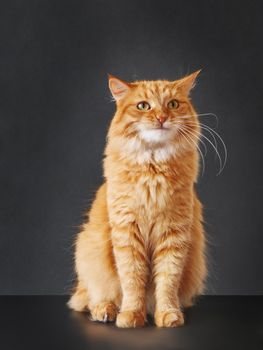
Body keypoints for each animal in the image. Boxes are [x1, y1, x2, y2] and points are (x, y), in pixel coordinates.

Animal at [68, 72, 208, 328]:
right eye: (144, 106)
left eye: (173, 104)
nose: (162, 117)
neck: (153, 169)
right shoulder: (127, 233)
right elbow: (132, 280)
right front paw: (131, 315)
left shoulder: (173, 234)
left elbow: (167, 282)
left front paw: (168, 315)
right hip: (88, 251)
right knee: (91, 296)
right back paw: (105, 311)